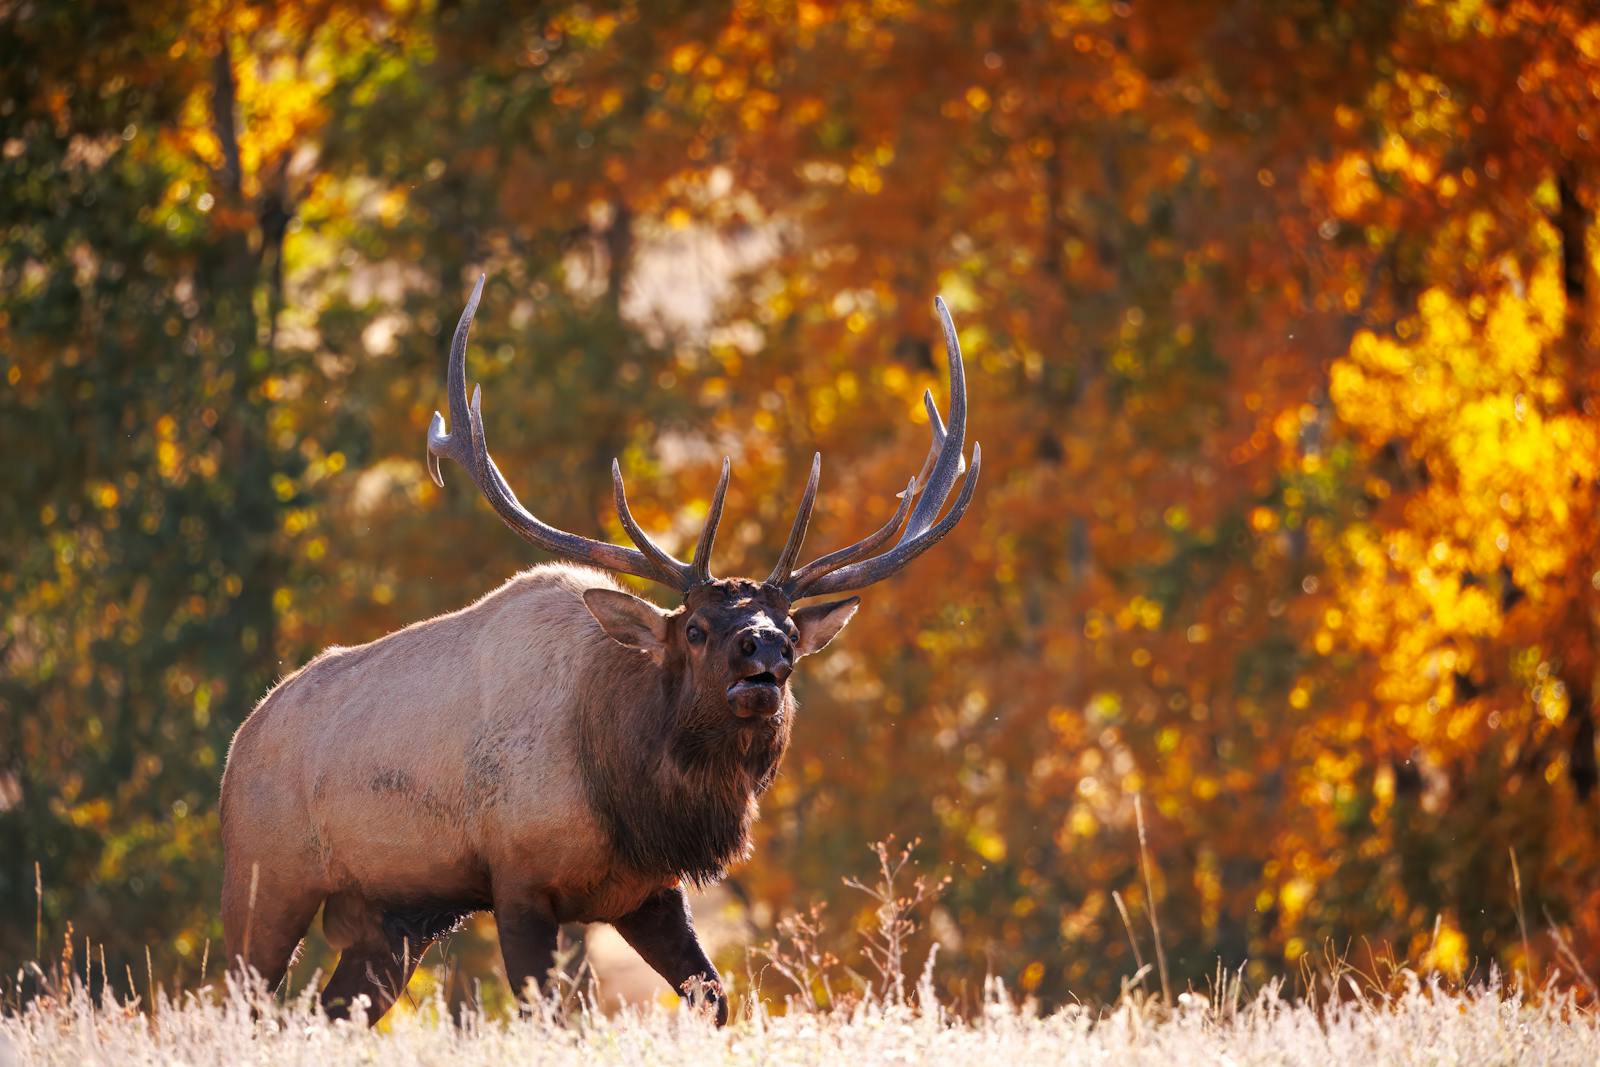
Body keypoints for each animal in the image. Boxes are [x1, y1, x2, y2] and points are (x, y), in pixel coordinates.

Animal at [218, 277, 980, 1026]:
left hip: (393, 918)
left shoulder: (647, 892)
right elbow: (543, 1014)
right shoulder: (518, 879)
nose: (763, 647)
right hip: (264, 881)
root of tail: (240, 739)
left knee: (325, 1011)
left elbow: (715, 999)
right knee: (242, 1000)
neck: (628, 792)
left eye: (792, 632)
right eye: (694, 629)